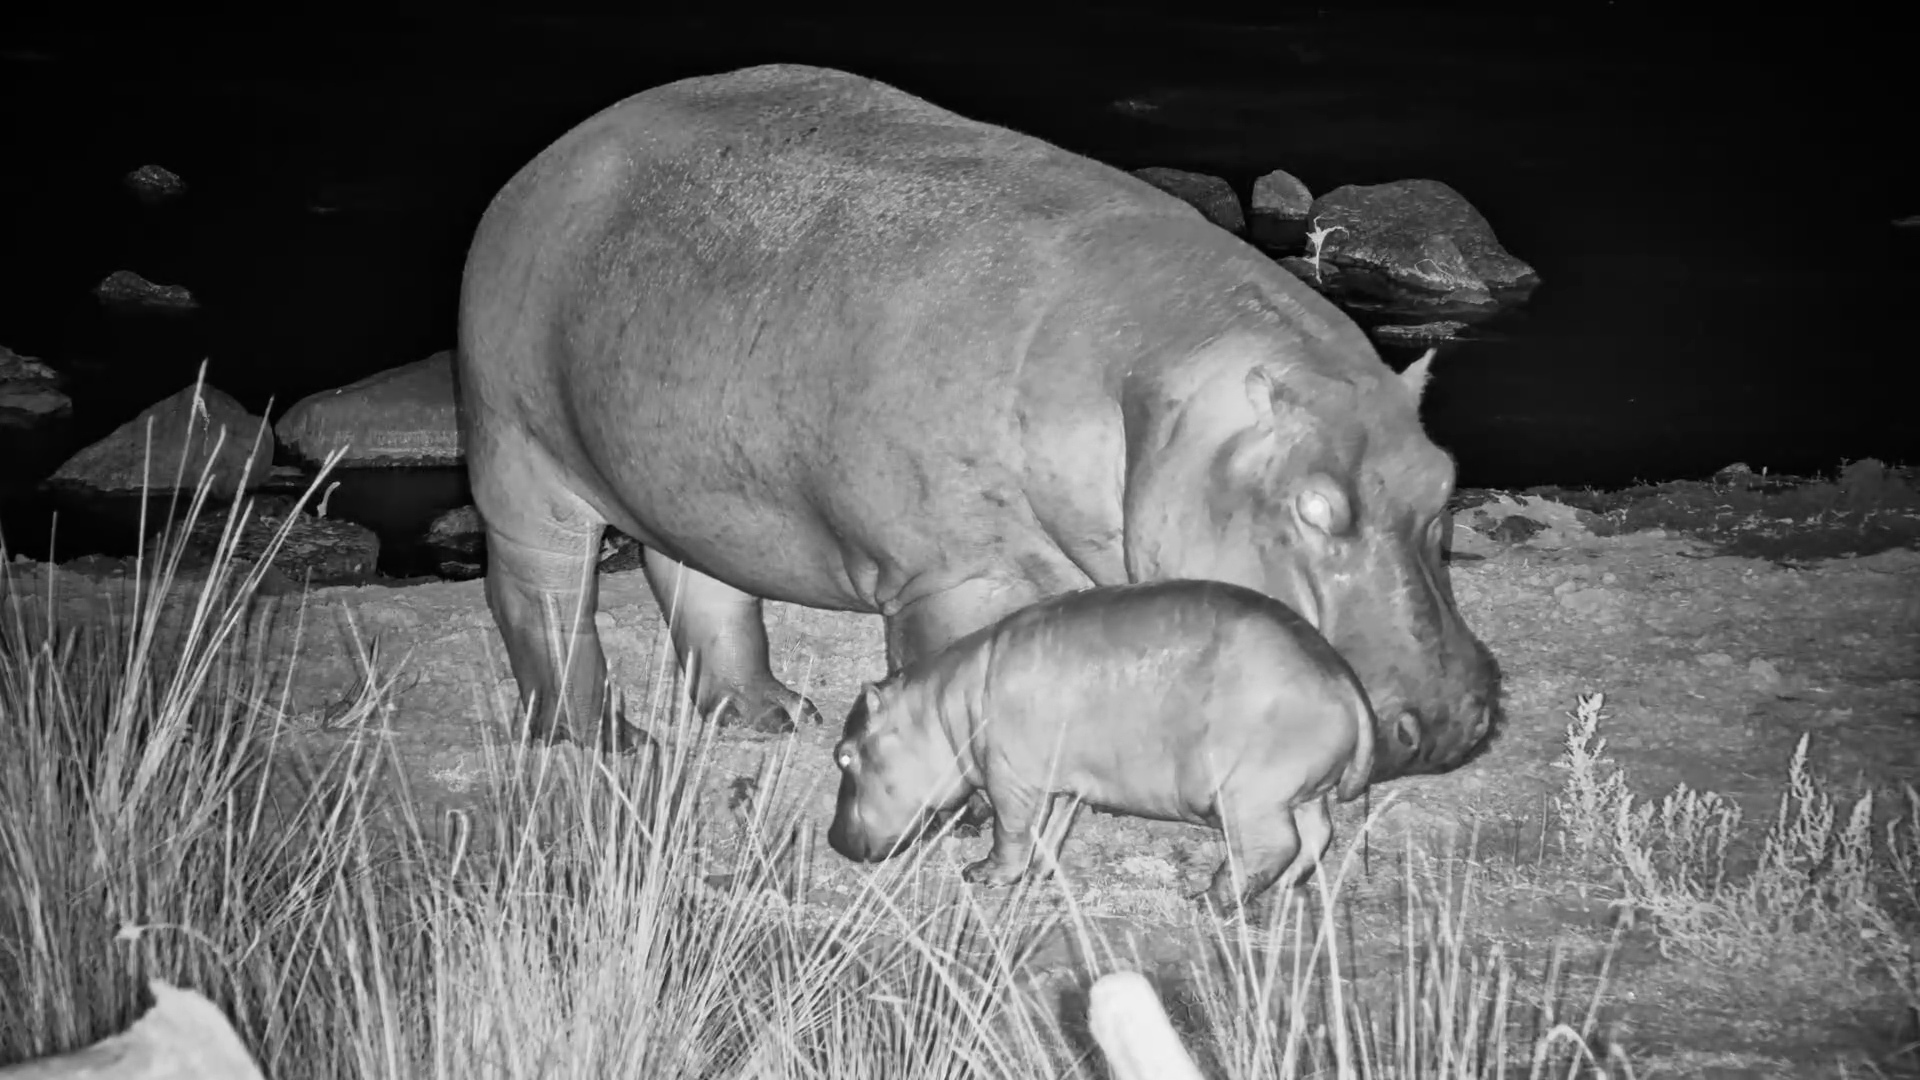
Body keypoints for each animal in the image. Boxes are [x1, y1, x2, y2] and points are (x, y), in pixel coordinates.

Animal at [455, 63, 1497, 776]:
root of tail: (548, 160)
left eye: (1445, 483)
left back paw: (773, 714)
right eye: (1314, 509)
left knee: (701, 587)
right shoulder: (948, 577)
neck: (1148, 378)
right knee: (542, 599)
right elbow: (942, 671)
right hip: (519, 458)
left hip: (685, 477)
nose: (1454, 720)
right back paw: (602, 743)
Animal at [825, 579, 1377, 910]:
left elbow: (1010, 831)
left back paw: (1210, 899)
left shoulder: (1010, 780)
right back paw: (1285, 891)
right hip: (1300, 790)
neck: (940, 711)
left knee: (1272, 845)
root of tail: (1344, 679)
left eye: (843, 755)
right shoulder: (1063, 785)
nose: (832, 840)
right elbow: (1048, 833)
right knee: (1317, 835)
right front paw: (1038, 875)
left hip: (1251, 794)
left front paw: (982, 874)